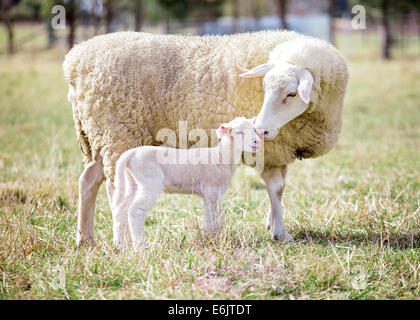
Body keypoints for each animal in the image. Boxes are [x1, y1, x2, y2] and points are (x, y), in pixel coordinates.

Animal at [111, 117, 262, 250]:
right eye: (239, 132)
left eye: (254, 130)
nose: (257, 142)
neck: (221, 157)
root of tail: (131, 153)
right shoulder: (213, 191)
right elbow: (218, 217)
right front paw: (219, 238)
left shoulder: (208, 194)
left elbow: (209, 218)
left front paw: (210, 238)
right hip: (149, 182)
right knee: (135, 211)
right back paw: (141, 247)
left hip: (133, 183)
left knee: (121, 210)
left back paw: (120, 245)